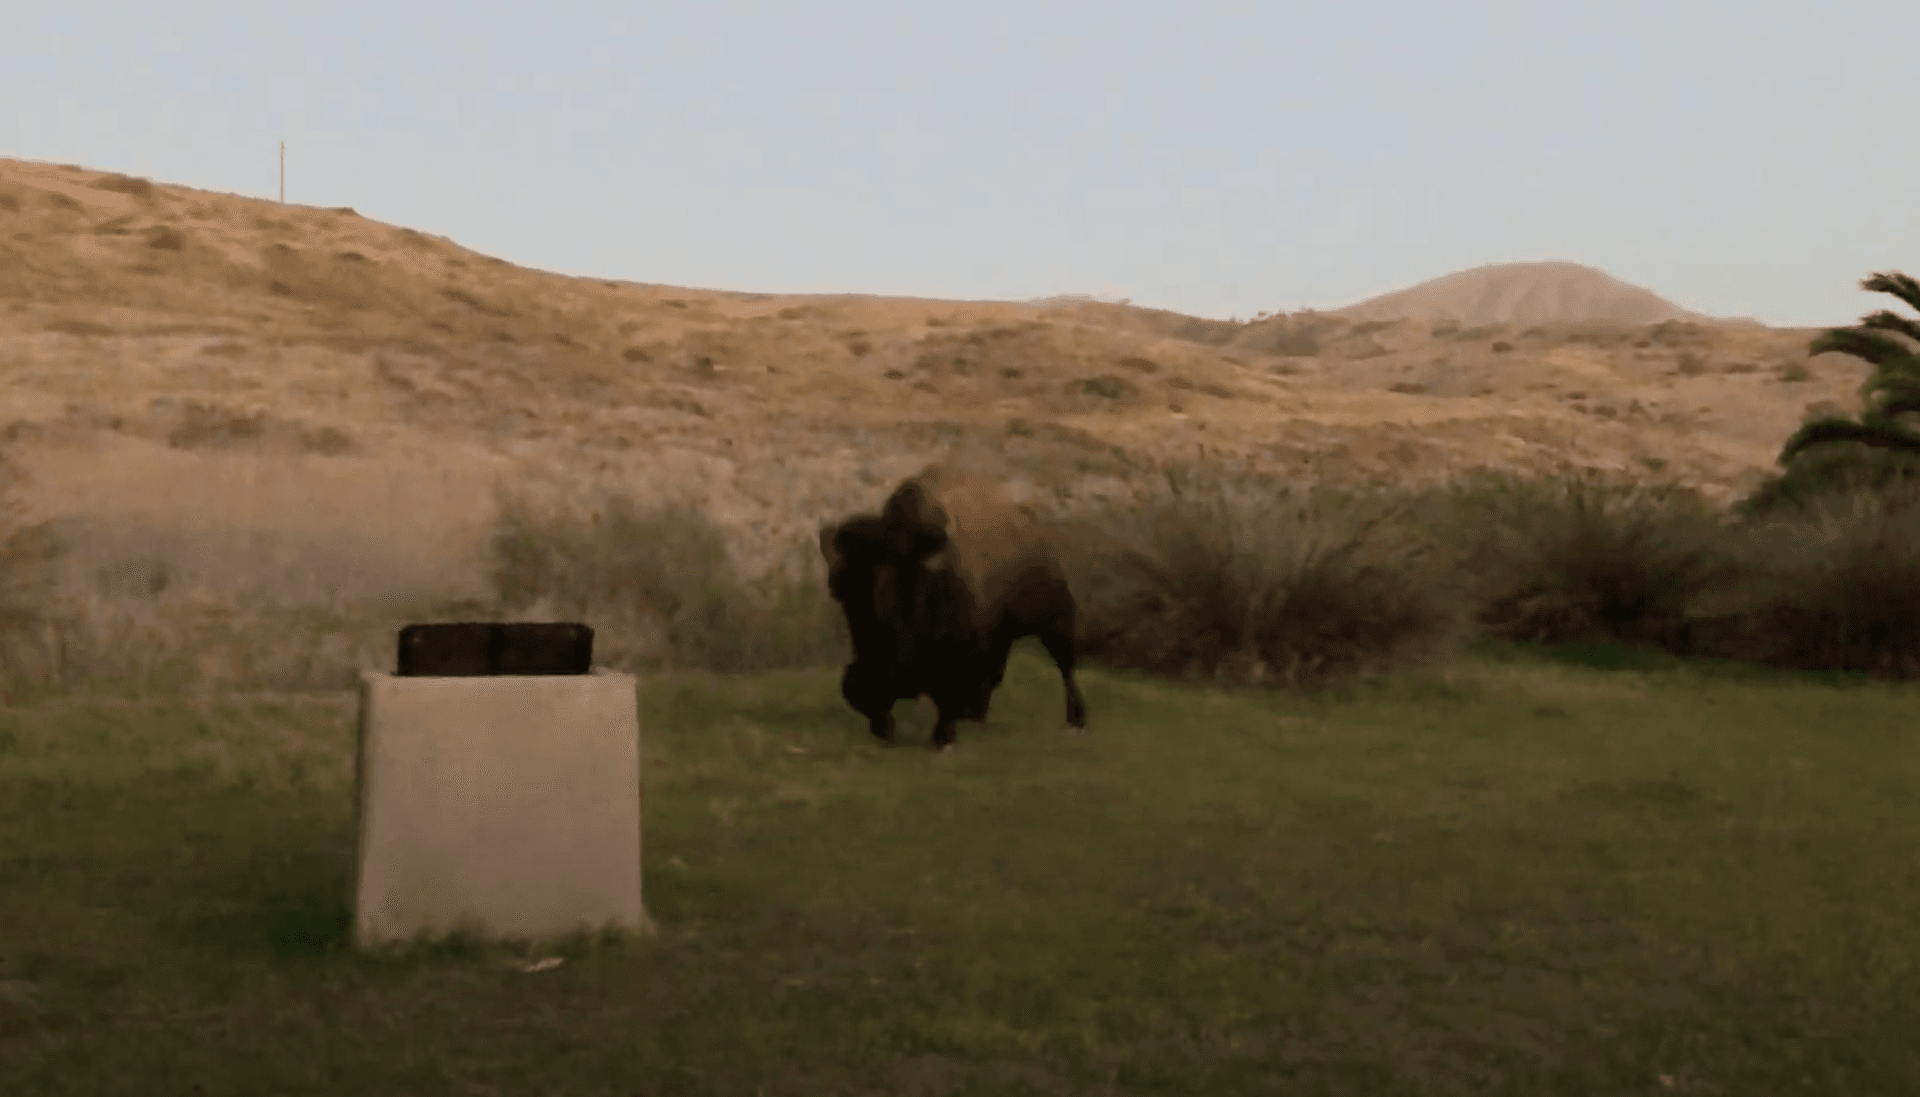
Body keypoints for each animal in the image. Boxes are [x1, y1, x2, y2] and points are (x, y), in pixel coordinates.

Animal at [819, 465, 1088, 752]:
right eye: (840, 592)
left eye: (890, 586)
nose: (860, 686)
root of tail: (1037, 531)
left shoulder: (960, 651)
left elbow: (951, 692)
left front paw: (942, 738)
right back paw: (976, 720)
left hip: (1055, 621)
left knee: (1065, 667)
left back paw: (1076, 720)